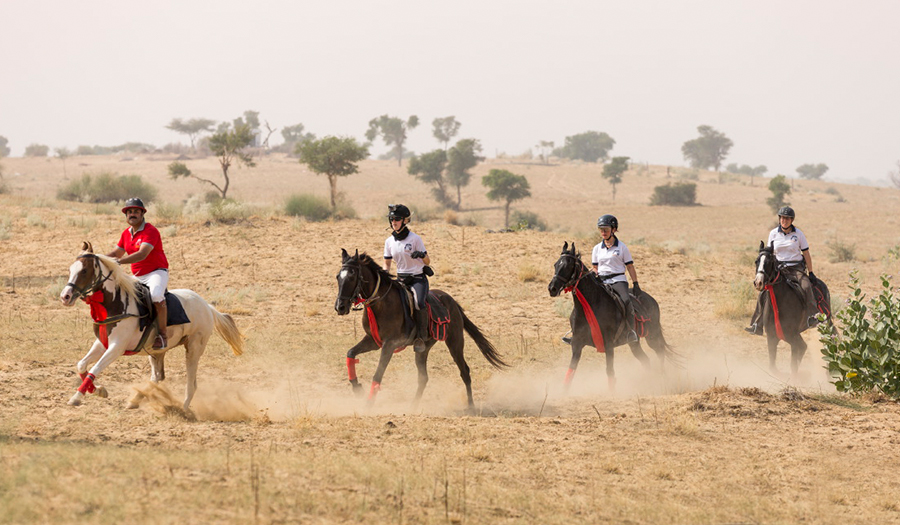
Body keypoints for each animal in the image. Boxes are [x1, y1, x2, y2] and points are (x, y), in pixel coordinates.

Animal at [60, 243, 246, 414]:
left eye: (84, 271)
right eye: (71, 269)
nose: (65, 296)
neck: (115, 303)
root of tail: (207, 306)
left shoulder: (116, 347)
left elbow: (94, 368)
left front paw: (76, 397)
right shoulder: (102, 344)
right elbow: (82, 365)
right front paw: (98, 390)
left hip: (194, 348)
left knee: (191, 383)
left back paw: (184, 409)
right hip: (156, 351)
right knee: (157, 376)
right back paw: (135, 400)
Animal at [336, 250, 510, 410]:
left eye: (352, 276)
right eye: (338, 277)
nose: (340, 307)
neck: (381, 303)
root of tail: (452, 301)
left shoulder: (389, 344)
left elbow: (378, 374)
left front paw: (368, 405)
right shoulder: (372, 340)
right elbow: (350, 354)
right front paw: (357, 387)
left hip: (455, 342)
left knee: (464, 371)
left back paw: (471, 406)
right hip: (424, 348)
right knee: (423, 378)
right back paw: (413, 406)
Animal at [540, 242, 676, 388]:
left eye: (568, 265)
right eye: (555, 264)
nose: (552, 288)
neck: (592, 304)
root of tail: (650, 298)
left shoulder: (609, 345)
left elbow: (610, 372)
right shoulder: (576, 344)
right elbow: (570, 374)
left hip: (652, 336)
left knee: (660, 352)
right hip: (635, 344)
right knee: (646, 360)